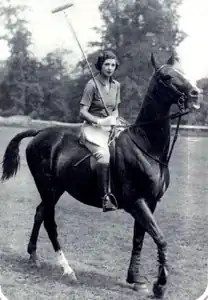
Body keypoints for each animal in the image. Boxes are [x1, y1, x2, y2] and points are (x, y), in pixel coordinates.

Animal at [0, 54, 201, 298]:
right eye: (167, 77)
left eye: (181, 72)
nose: (196, 93)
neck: (146, 147)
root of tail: (39, 132)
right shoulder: (136, 201)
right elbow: (160, 238)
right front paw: (159, 285)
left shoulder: (150, 202)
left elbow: (139, 238)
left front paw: (135, 279)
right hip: (47, 187)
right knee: (49, 220)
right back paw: (67, 269)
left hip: (56, 189)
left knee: (40, 213)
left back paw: (33, 256)